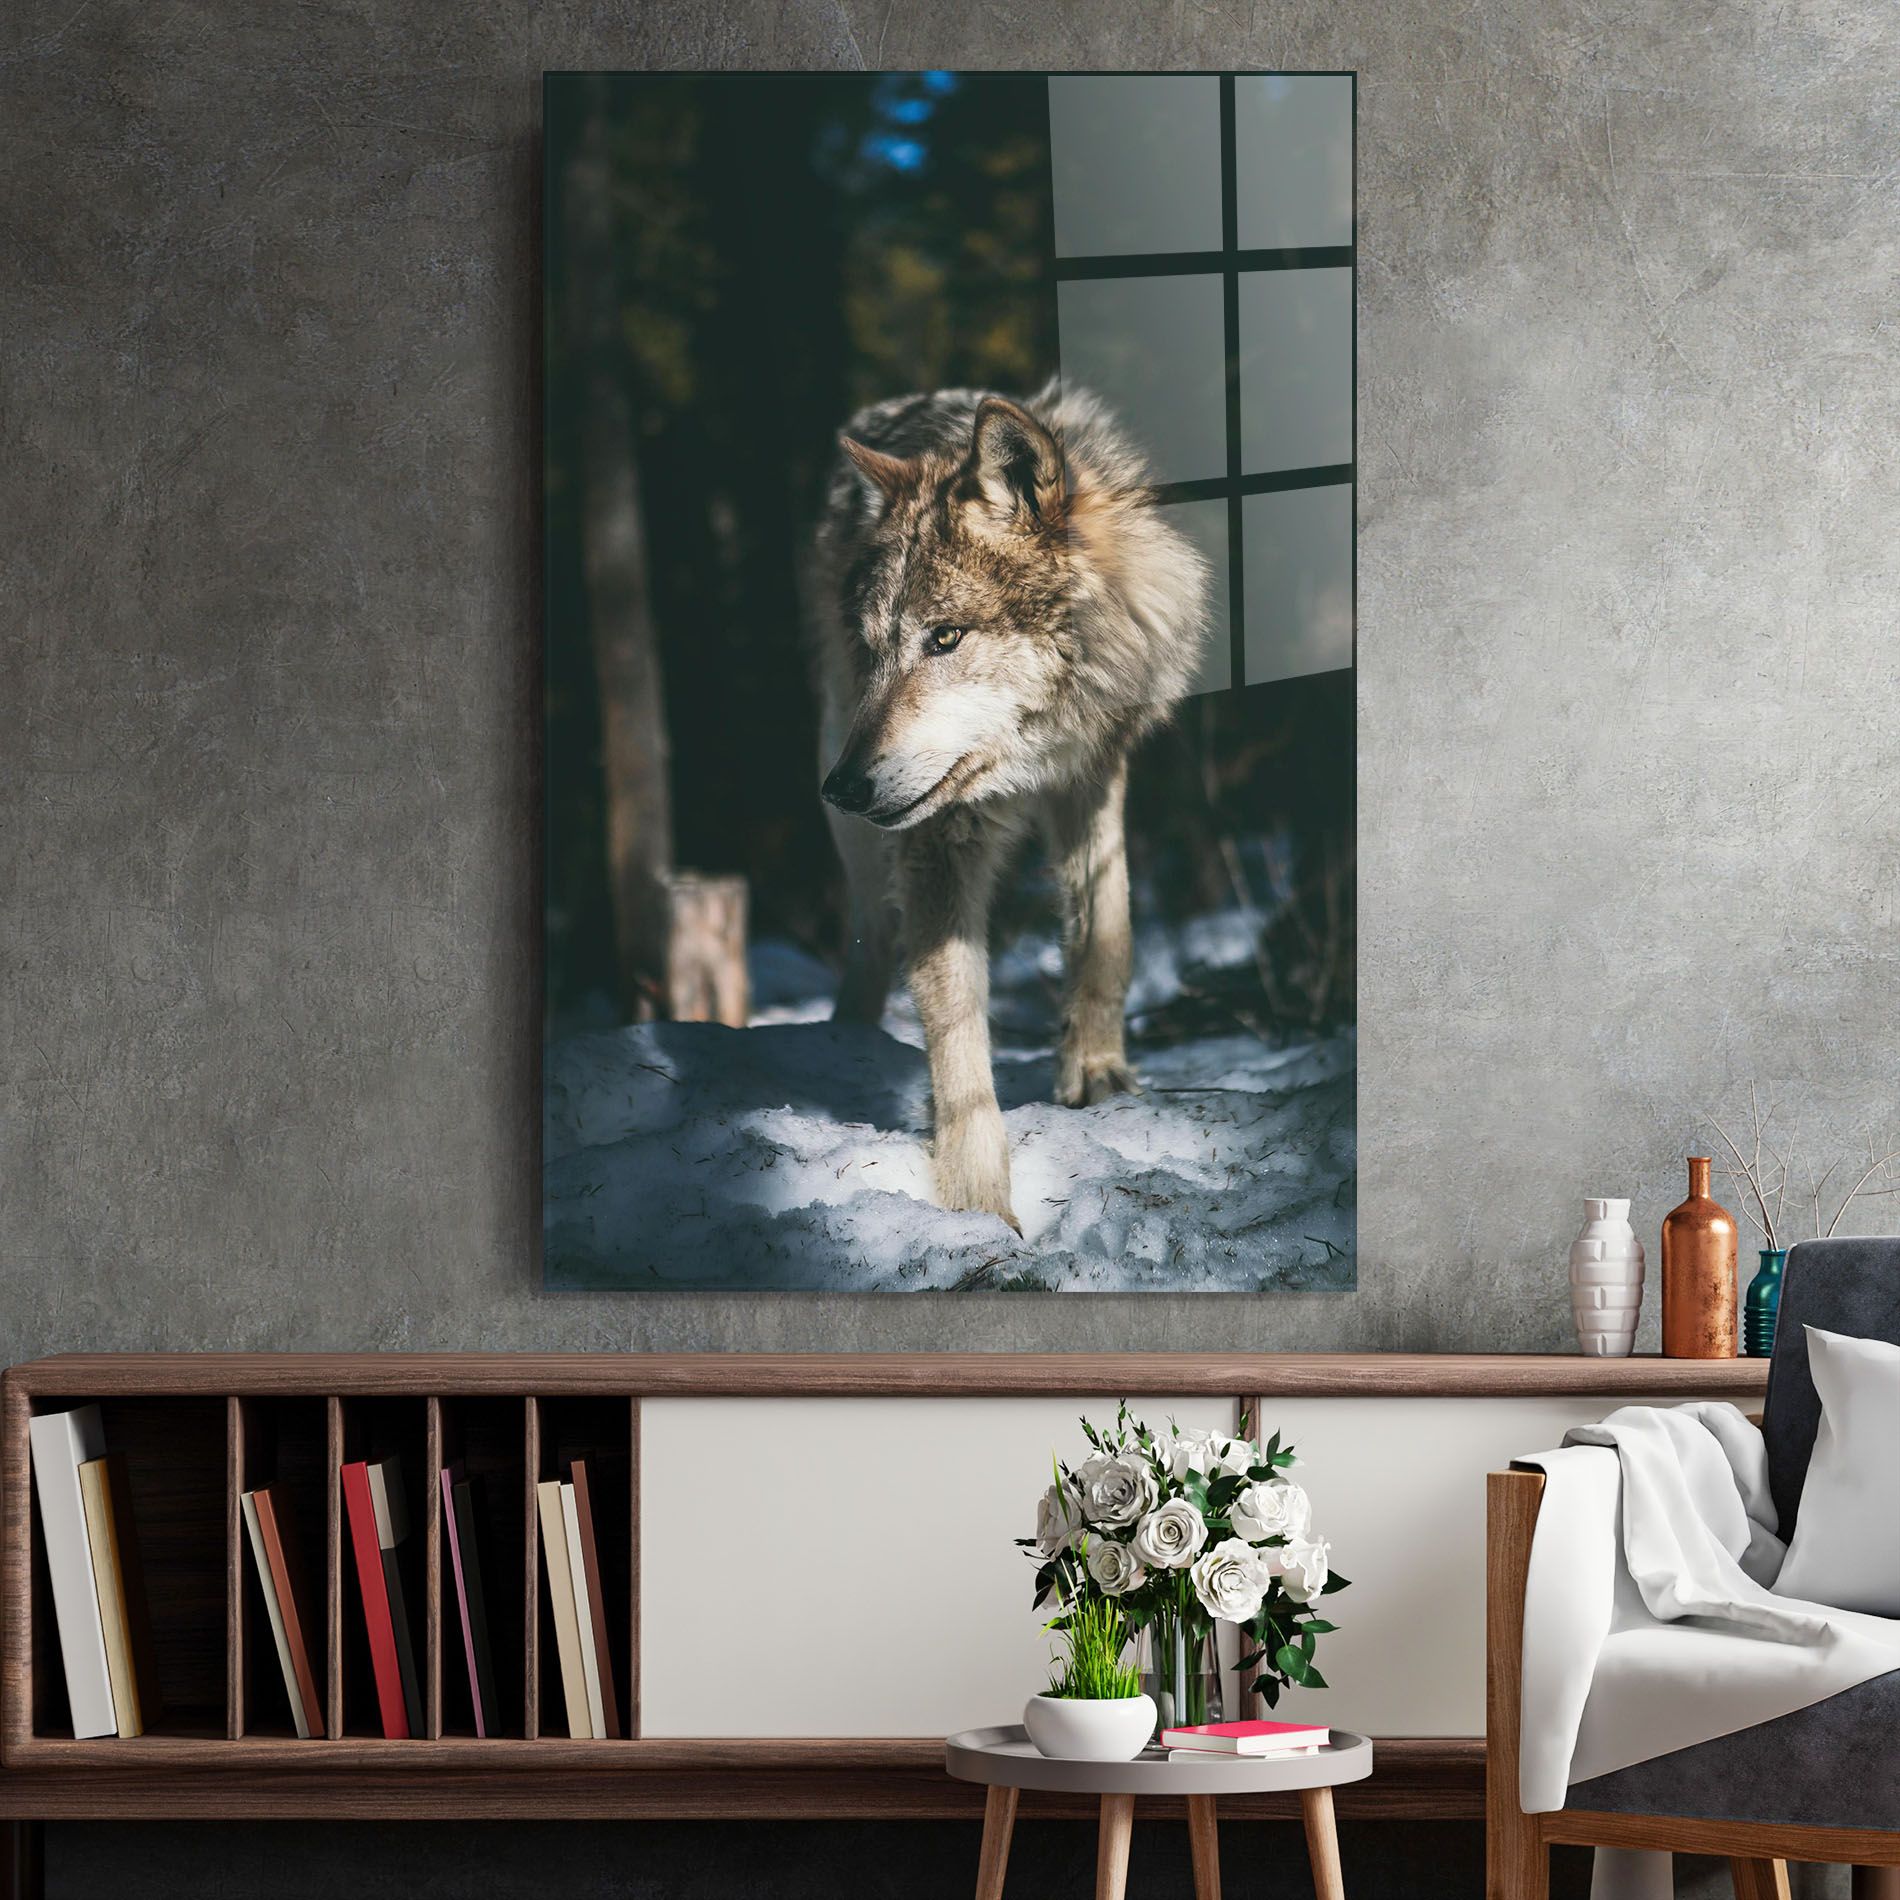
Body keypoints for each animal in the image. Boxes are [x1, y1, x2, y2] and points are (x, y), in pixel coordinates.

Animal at [802, 380, 1208, 1233]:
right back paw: (844, 1039)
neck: (1030, 754)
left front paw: (1096, 1073)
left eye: (944, 637)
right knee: (869, 933)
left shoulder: (1095, 771)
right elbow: (956, 1033)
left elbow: (1107, 931)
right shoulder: (937, 836)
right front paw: (978, 1207)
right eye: (874, 650)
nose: (843, 787)